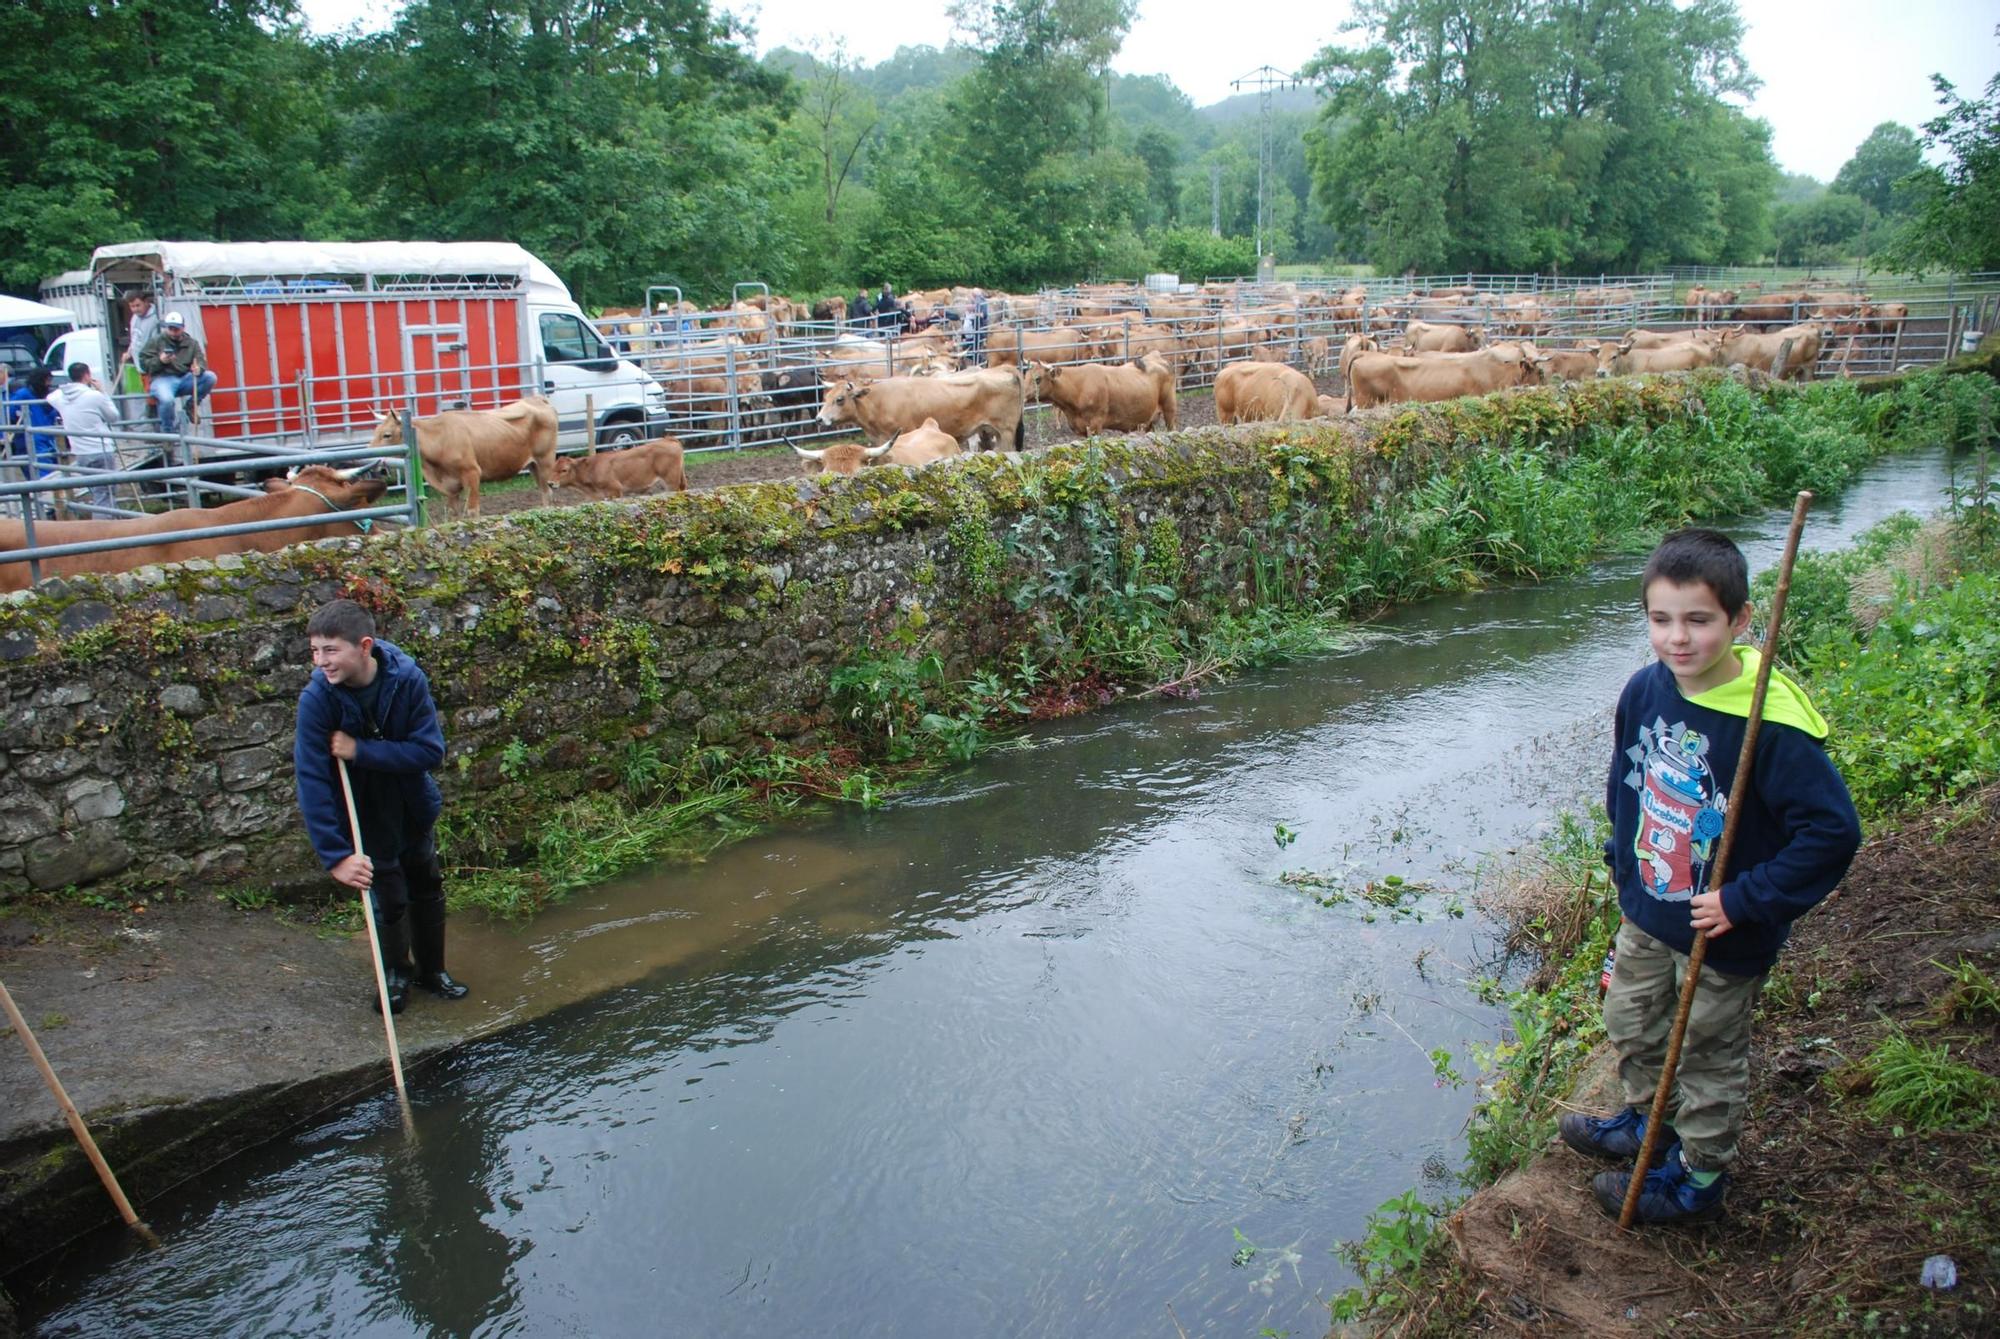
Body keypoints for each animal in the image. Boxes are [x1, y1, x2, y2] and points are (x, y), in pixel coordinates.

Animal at [368, 393, 564, 519]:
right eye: (375, 431)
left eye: (386, 435)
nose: (371, 458)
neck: (440, 438)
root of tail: (537, 399)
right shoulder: (449, 486)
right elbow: (452, 513)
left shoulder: (472, 473)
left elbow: (472, 511)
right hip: (533, 466)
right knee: (544, 491)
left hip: (545, 461)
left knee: (548, 493)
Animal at [552, 443, 692, 501]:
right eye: (553, 468)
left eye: (564, 470)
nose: (550, 483)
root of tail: (670, 440)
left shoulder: (615, 490)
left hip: (671, 482)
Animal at [816, 369, 1024, 453]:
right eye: (826, 397)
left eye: (839, 399)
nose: (819, 419)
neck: (880, 400)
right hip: (988, 432)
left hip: (1006, 432)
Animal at [1024, 355, 1176, 435]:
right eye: (1025, 376)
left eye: (1037, 379)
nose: (1023, 395)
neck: (1079, 386)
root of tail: (1158, 358)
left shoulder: (1095, 425)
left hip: (1169, 410)